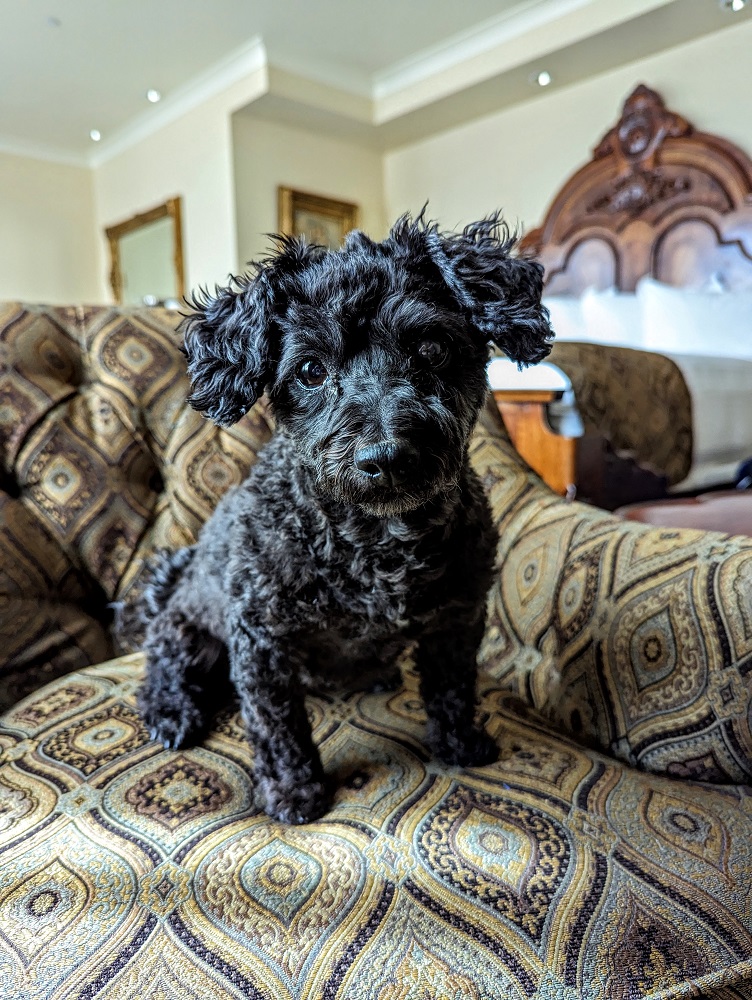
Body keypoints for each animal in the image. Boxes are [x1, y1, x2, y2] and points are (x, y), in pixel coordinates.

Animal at [128, 211, 552, 820]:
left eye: (432, 348)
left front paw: (460, 745)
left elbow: (453, 690)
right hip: (184, 632)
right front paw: (294, 793)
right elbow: (278, 727)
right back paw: (171, 712)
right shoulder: (260, 642)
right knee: (162, 670)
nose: (386, 456)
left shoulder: (458, 619)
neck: (376, 541)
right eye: (310, 370)